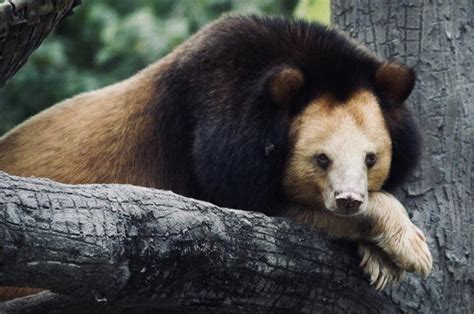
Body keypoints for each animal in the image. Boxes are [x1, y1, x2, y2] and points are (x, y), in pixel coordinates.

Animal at [0, 14, 430, 296]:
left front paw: (381, 260)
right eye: (321, 159)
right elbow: (250, 203)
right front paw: (411, 249)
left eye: (371, 158)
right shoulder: (214, 138)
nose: (348, 200)